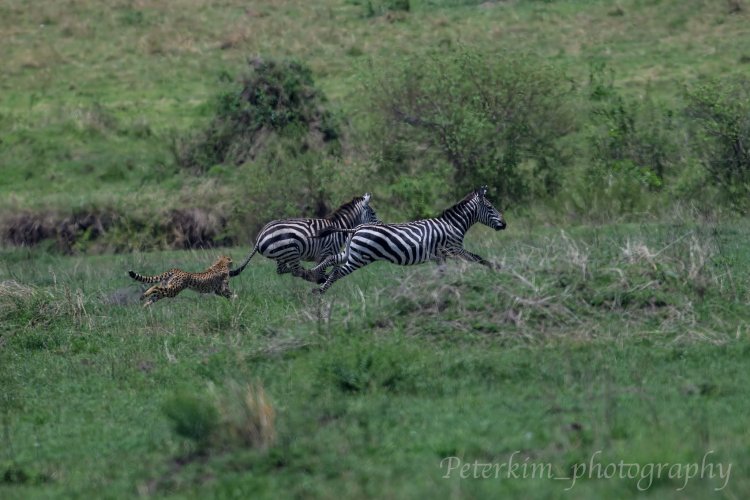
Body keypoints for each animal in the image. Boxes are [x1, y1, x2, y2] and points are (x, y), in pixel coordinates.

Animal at [229, 193, 382, 284]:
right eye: (373, 213)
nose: (380, 225)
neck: (339, 227)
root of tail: (260, 236)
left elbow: (332, 266)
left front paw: (323, 278)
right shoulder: (326, 251)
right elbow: (323, 268)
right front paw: (320, 280)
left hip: (282, 255)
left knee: (283, 270)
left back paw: (306, 273)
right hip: (291, 251)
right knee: (295, 270)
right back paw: (307, 274)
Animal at [308, 188, 508, 294]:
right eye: (490, 207)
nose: (505, 224)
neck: (452, 225)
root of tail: (356, 228)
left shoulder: (440, 256)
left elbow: (442, 273)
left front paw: (439, 287)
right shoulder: (455, 249)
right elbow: (478, 258)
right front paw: (496, 269)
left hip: (351, 252)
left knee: (331, 260)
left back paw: (314, 278)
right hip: (359, 258)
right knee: (337, 271)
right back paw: (320, 290)